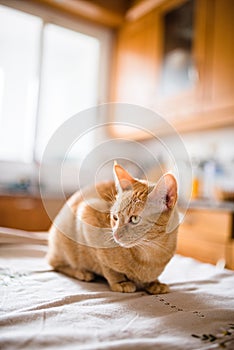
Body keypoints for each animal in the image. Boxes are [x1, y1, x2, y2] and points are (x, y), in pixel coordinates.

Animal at [48, 163, 179, 294]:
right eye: (115, 217)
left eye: (135, 219)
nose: (115, 235)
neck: (152, 254)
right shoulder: (87, 214)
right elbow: (106, 266)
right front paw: (120, 282)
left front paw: (154, 283)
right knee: (55, 263)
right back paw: (81, 272)